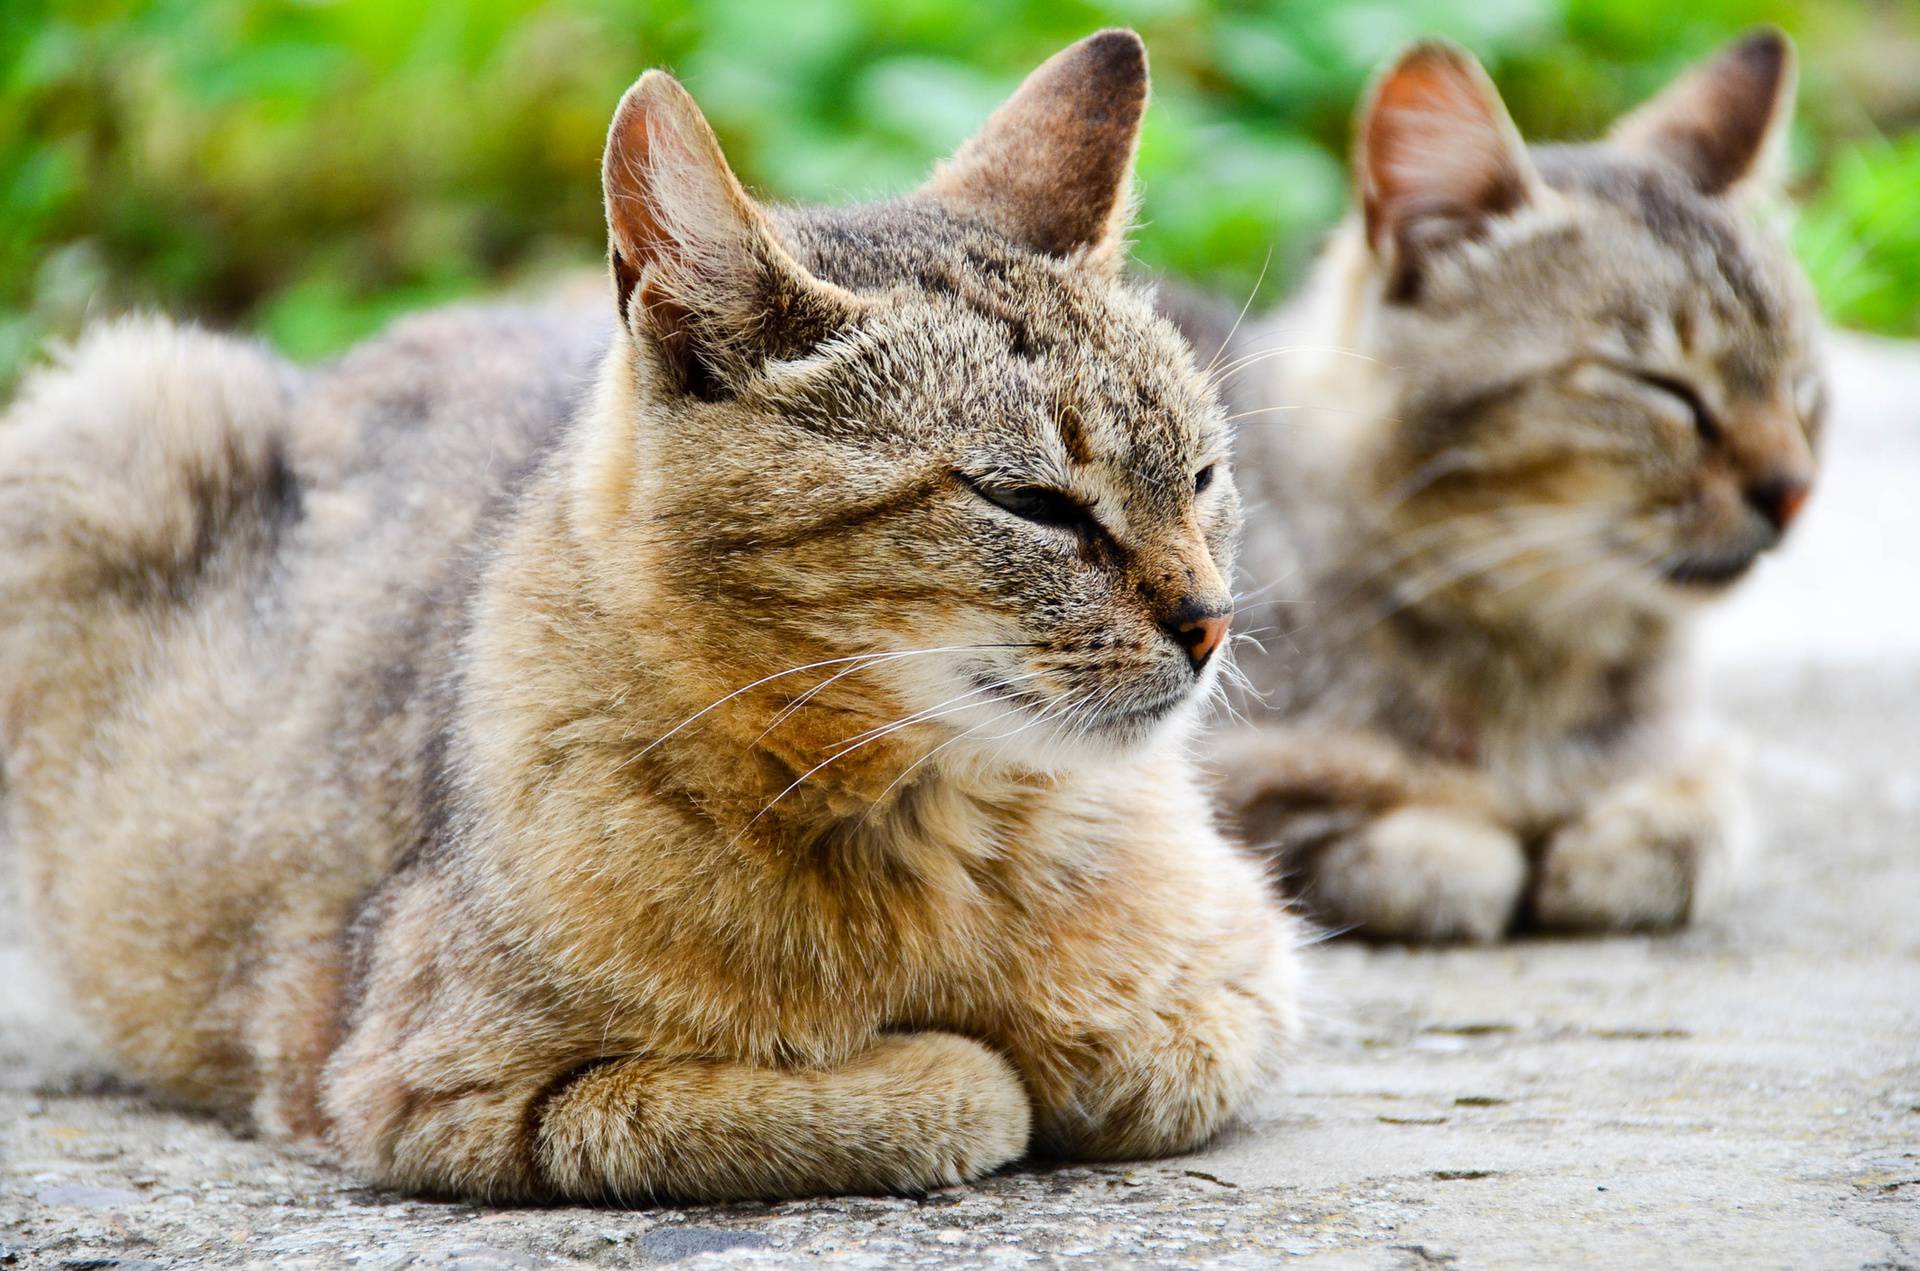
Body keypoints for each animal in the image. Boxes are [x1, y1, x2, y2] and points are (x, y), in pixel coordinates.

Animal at [0, 32, 1297, 1205]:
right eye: (1030, 502)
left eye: (1202, 478)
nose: (1212, 622)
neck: (935, 835)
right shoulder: (440, 1092)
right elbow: (929, 1093)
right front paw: (964, 1067)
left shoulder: (1238, 974)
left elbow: (1143, 1059)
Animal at [1205, 29, 1820, 944]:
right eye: (1662, 387)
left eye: (1801, 384)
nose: (1794, 489)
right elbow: (1390, 842)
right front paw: (1473, 846)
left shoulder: (1697, 757)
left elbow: (1700, 819)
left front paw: (1614, 844)